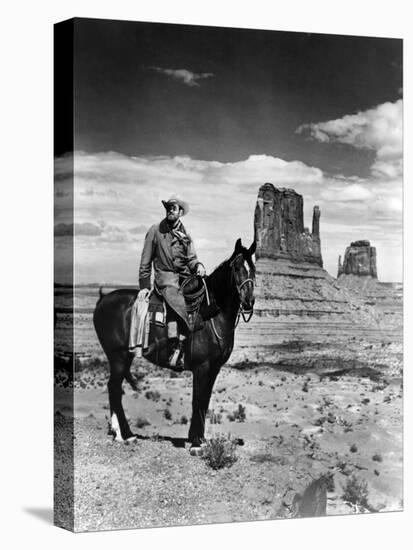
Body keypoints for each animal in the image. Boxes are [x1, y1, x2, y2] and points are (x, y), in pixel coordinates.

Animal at [93, 238, 254, 452]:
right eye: (237, 267)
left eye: (253, 268)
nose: (249, 301)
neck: (212, 314)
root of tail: (103, 299)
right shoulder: (202, 367)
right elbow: (197, 400)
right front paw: (196, 444)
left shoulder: (214, 368)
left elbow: (205, 400)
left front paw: (200, 439)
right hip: (117, 356)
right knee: (114, 389)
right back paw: (126, 435)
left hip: (124, 357)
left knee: (115, 389)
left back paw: (118, 433)